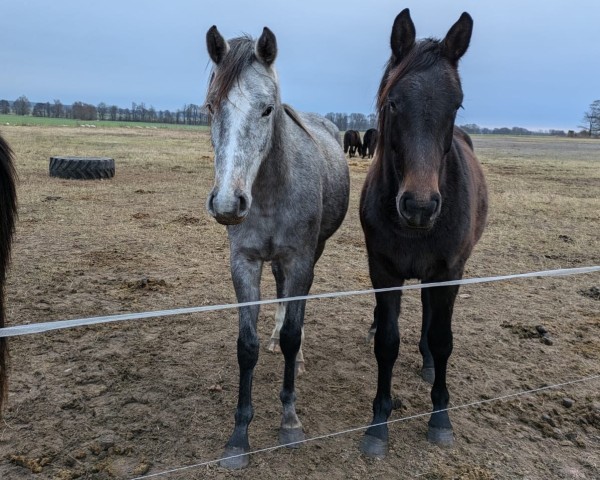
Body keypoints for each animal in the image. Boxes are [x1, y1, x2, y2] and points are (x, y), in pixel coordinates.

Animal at [204, 26, 350, 468]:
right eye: (211, 107)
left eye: (267, 109)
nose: (227, 203)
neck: (268, 192)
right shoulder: (245, 263)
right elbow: (246, 346)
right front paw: (238, 437)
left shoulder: (300, 259)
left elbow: (293, 333)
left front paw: (289, 422)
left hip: (312, 254)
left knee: (295, 310)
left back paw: (297, 356)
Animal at [358, 8, 486, 458]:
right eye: (393, 103)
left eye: (456, 104)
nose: (419, 206)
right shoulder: (384, 271)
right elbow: (387, 343)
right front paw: (378, 423)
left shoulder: (448, 272)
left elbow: (443, 338)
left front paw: (440, 418)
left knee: (433, 320)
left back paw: (430, 364)